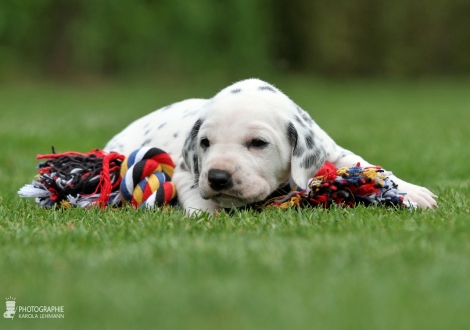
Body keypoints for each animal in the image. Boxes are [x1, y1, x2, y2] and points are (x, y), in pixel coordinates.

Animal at [105, 78, 436, 213]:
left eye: (258, 143)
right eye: (205, 143)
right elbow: (193, 191)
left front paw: (412, 193)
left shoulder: (333, 152)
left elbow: (367, 167)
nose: (218, 178)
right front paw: (206, 213)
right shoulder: (188, 169)